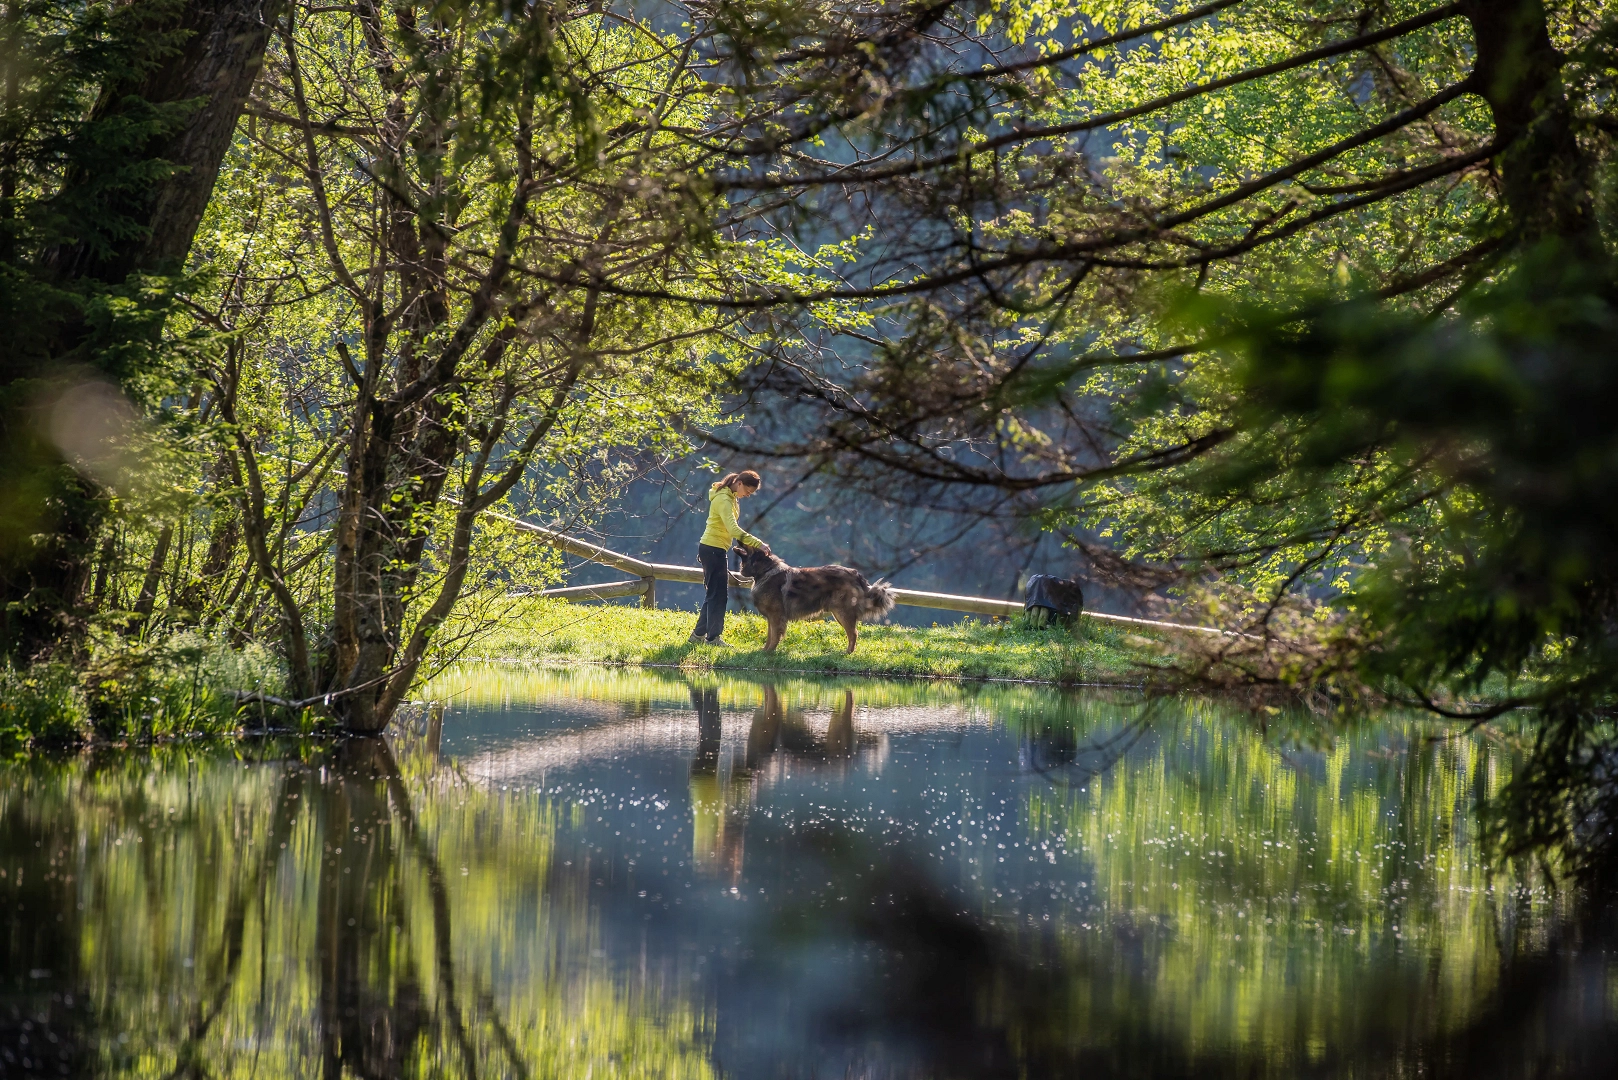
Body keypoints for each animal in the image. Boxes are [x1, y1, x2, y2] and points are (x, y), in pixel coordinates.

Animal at [734, 544, 899, 654]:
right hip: (839, 613)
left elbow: (775, 636)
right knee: (853, 632)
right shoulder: (771, 617)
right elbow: (769, 635)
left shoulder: (776, 616)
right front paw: (764, 650)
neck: (765, 571)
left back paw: (847, 653)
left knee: (853, 633)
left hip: (842, 612)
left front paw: (769, 652)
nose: (739, 539)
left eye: (749, 544)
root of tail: (856, 574)